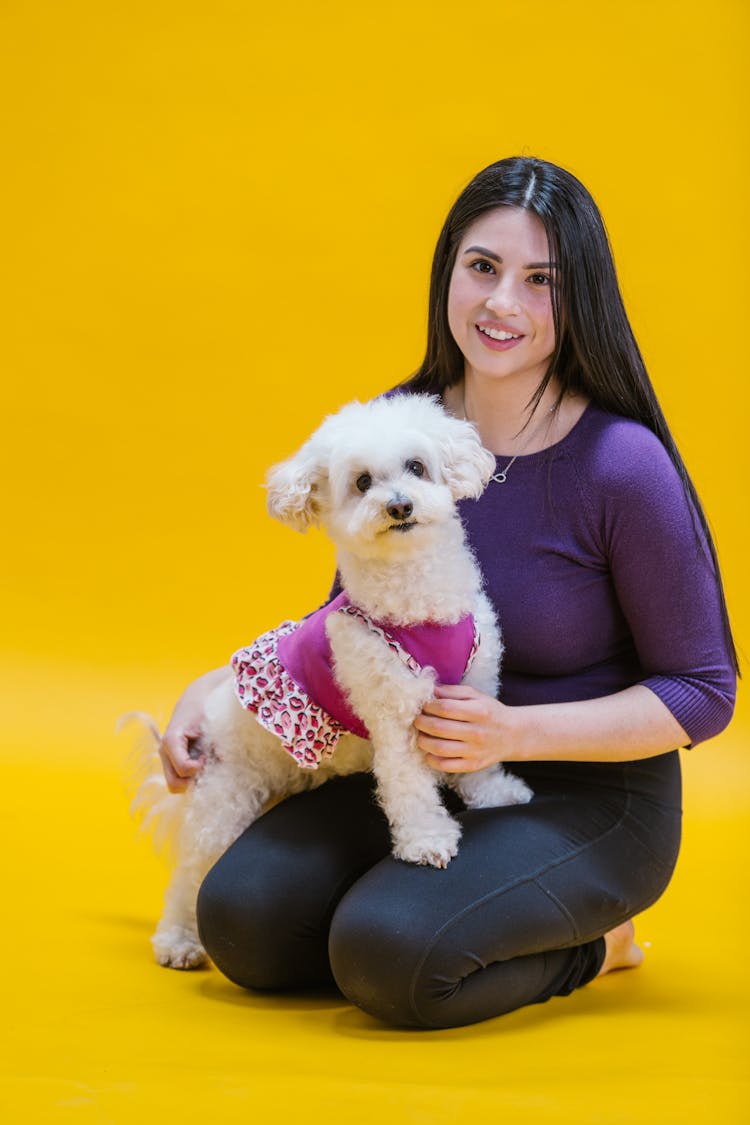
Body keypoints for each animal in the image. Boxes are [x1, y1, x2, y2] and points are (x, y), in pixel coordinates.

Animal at [129, 393, 530, 967]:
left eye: (416, 467)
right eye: (362, 482)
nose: (400, 506)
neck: (417, 605)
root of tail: (208, 720)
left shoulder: (471, 692)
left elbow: (478, 761)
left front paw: (494, 793)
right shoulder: (392, 717)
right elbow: (409, 787)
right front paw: (426, 841)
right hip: (225, 799)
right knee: (190, 876)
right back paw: (178, 940)